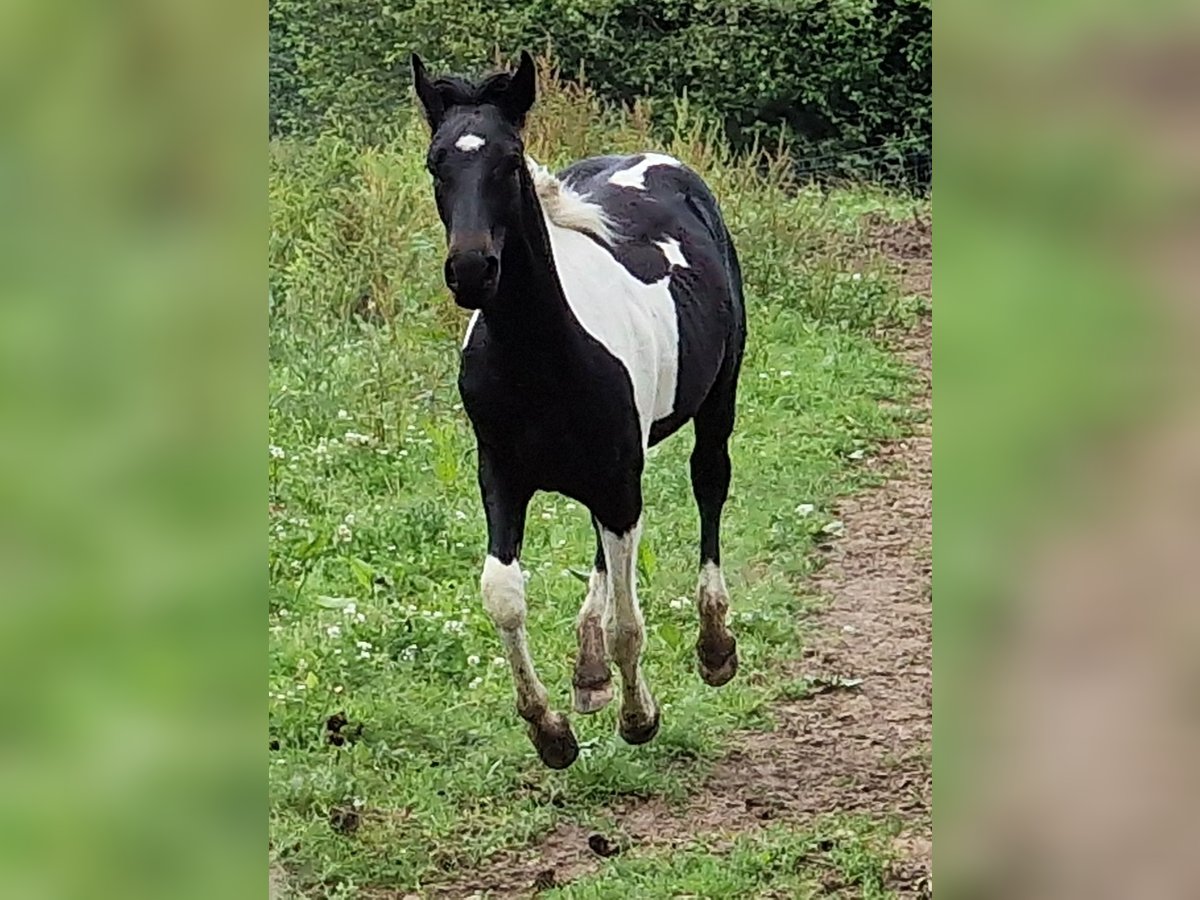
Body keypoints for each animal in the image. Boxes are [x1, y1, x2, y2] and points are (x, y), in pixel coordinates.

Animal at [415, 51, 748, 768]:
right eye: (435, 161)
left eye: (511, 159)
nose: (471, 270)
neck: (540, 361)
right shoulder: (502, 477)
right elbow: (503, 596)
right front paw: (550, 730)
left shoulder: (619, 482)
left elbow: (631, 622)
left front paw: (639, 717)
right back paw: (590, 672)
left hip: (716, 402)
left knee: (709, 484)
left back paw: (713, 648)